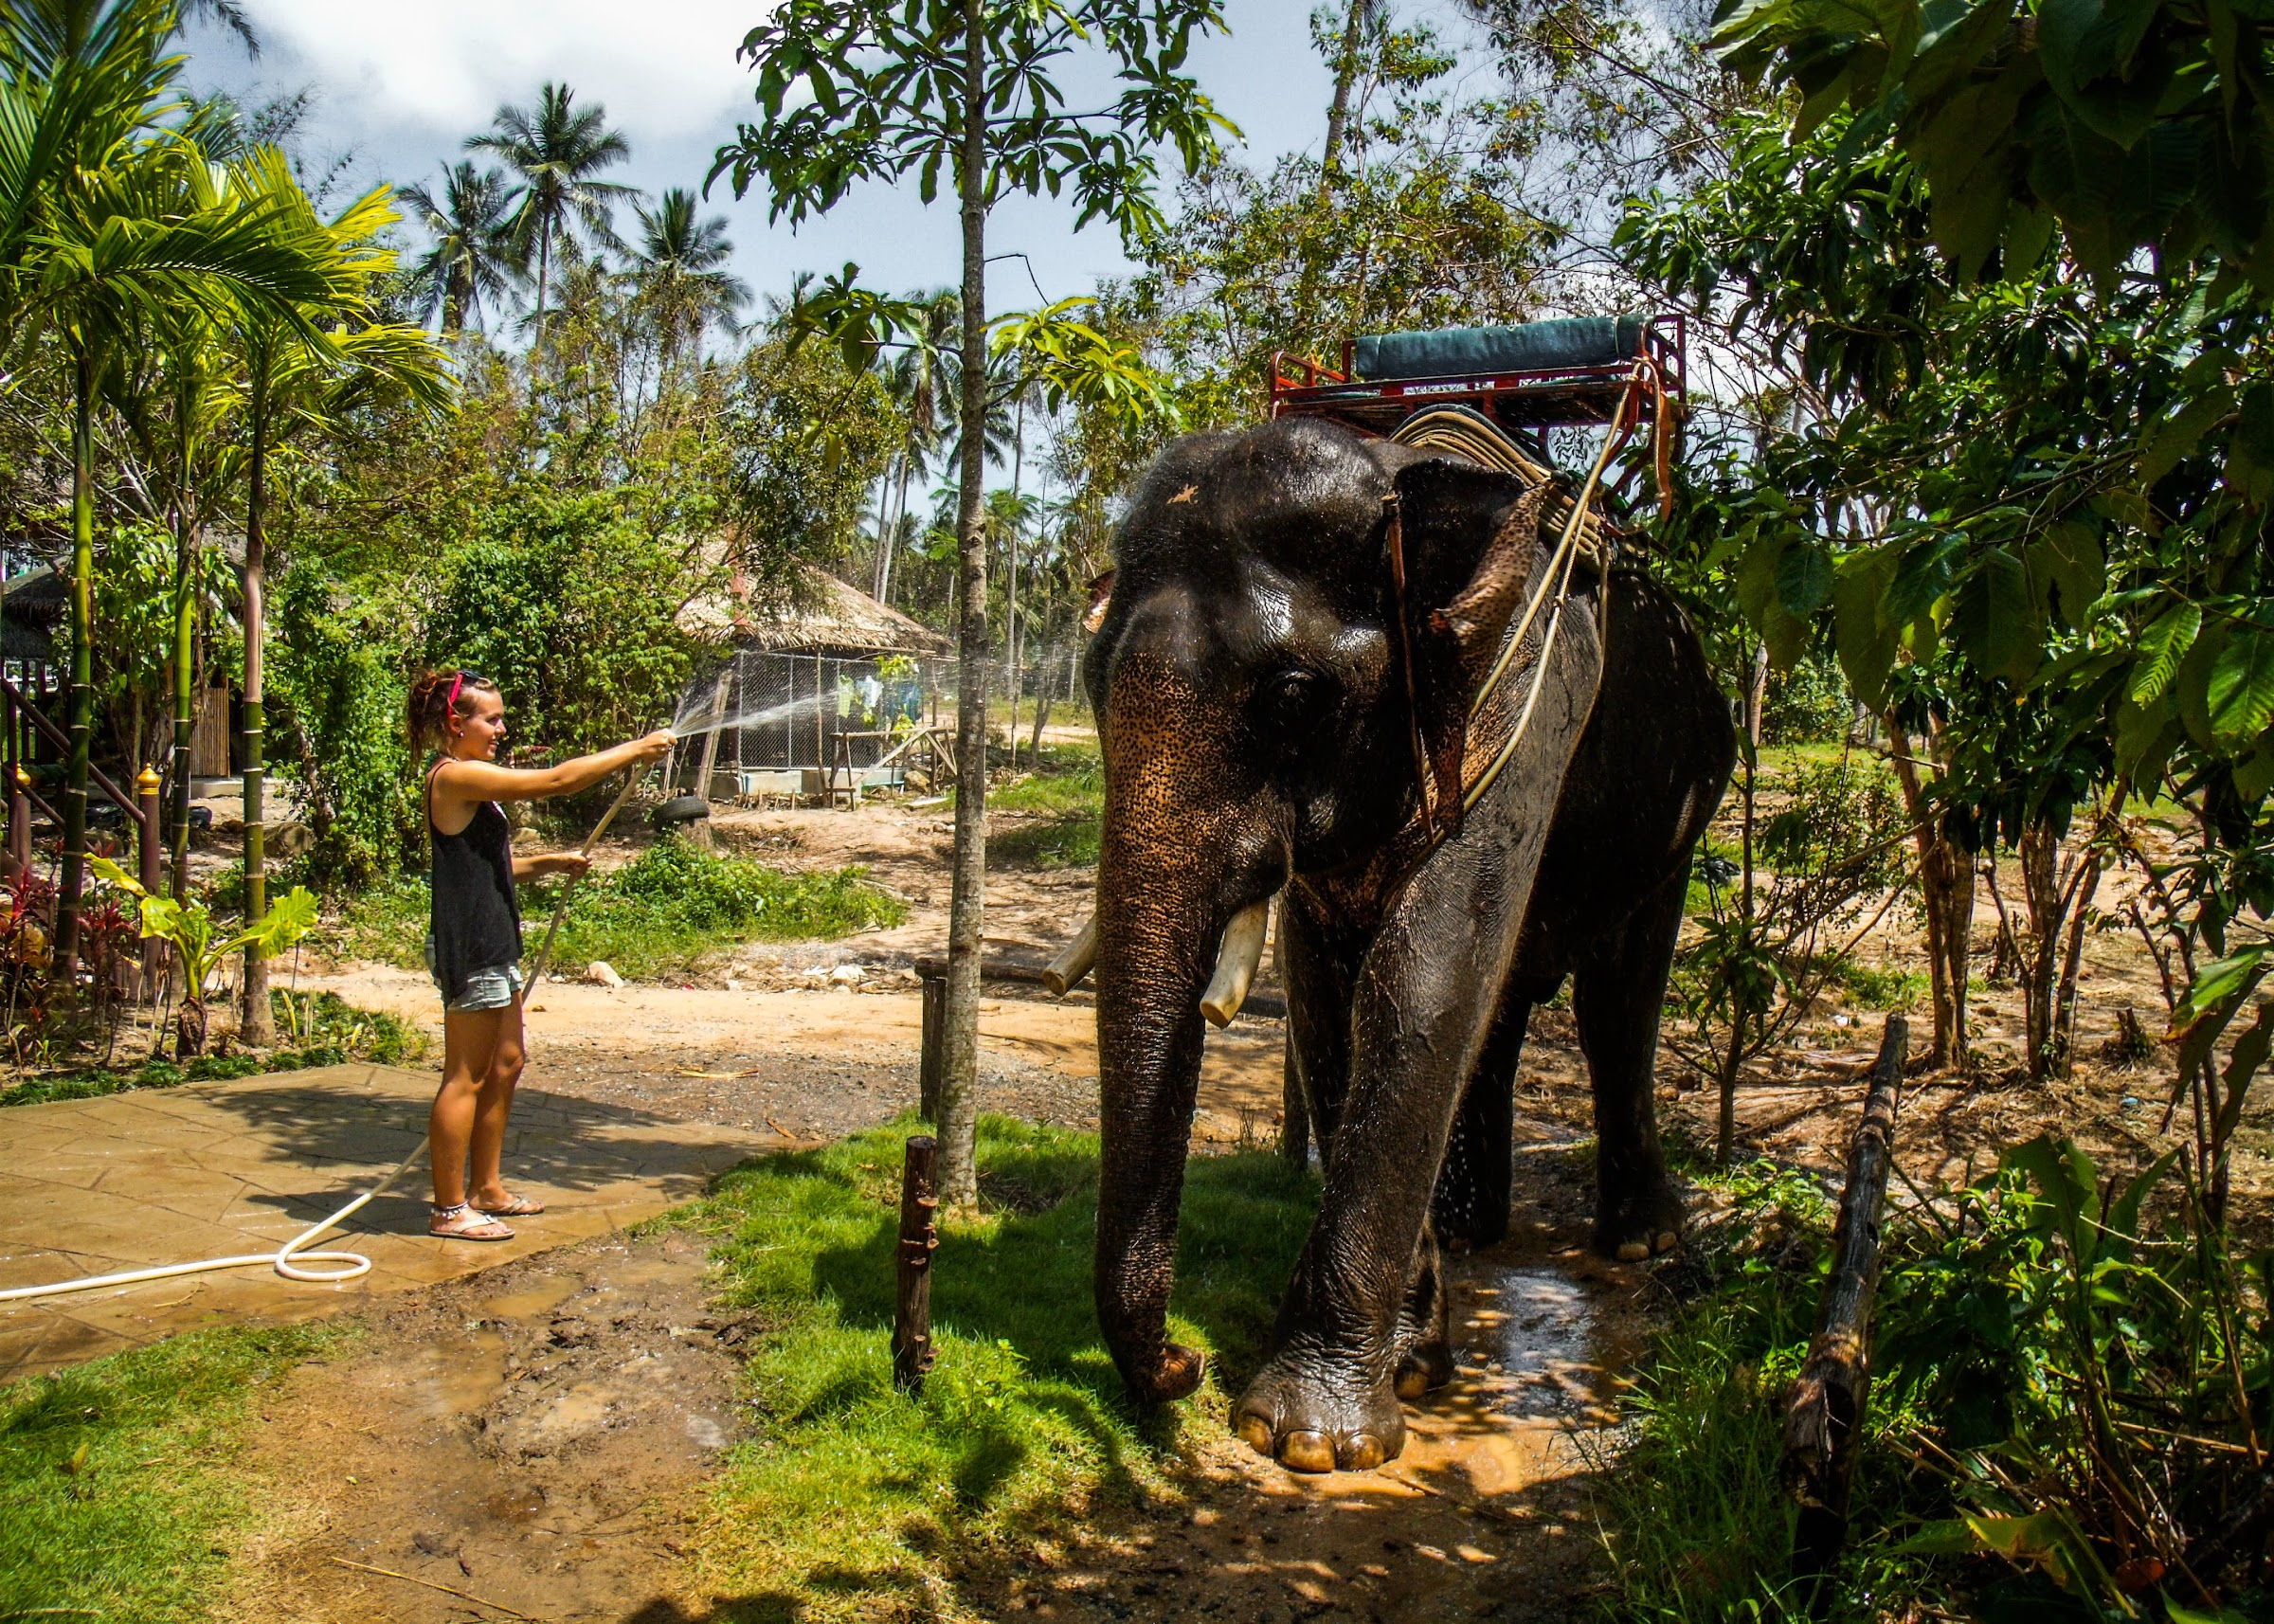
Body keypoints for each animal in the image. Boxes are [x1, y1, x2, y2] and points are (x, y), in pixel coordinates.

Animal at [1083, 413, 1735, 1475]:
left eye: (1292, 696)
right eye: (1092, 686)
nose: (1182, 1363)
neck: (1397, 479)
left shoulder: (1532, 687)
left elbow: (1421, 975)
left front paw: (1307, 1439)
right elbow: (1328, 1000)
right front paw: (1407, 1364)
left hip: (1681, 813)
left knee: (1616, 998)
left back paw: (1642, 1243)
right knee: (1505, 1004)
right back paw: (1474, 1230)